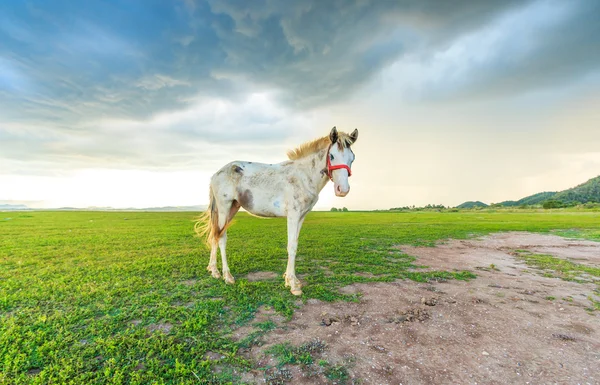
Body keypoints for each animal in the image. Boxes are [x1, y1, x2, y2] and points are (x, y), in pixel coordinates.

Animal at [196, 126, 356, 294]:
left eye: (352, 158)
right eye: (332, 156)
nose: (343, 190)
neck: (303, 176)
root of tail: (216, 174)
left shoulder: (301, 217)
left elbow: (295, 243)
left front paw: (291, 280)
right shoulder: (293, 215)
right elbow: (291, 246)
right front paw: (293, 285)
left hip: (232, 208)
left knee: (215, 234)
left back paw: (214, 271)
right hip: (224, 208)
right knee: (221, 237)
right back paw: (227, 276)